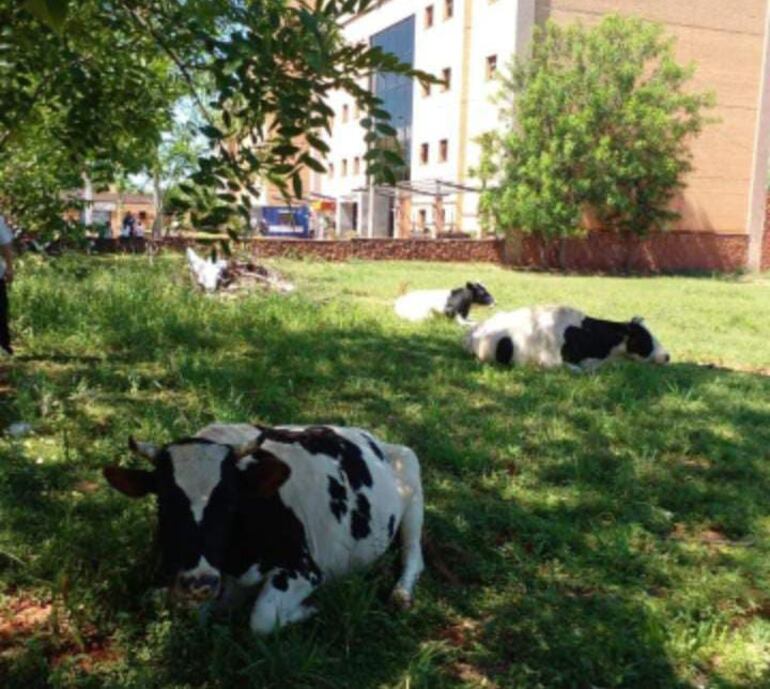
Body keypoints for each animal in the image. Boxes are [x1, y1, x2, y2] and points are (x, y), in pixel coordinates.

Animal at [103, 424, 424, 636]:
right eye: (164, 502)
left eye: (231, 502)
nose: (200, 582)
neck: (235, 560)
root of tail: (368, 435)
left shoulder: (305, 568)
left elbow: (261, 617)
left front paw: (309, 609)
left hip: (412, 481)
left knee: (413, 555)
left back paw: (400, 594)